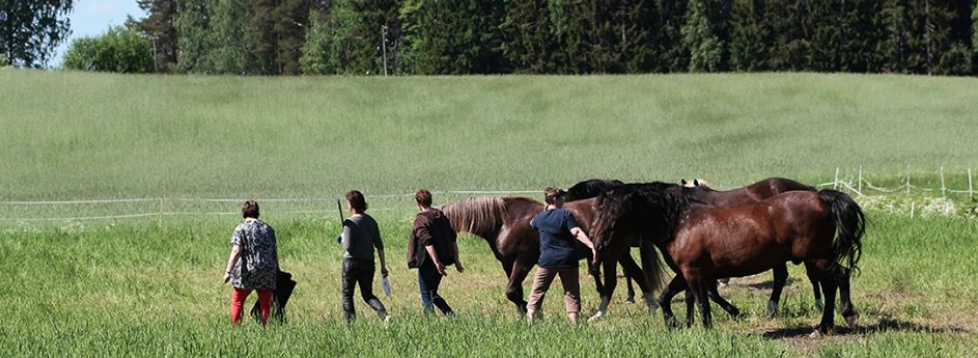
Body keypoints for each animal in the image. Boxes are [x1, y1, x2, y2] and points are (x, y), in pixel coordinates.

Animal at [588, 183, 860, 334]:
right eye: (598, 211)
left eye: (614, 214)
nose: (596, 242)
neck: (680, 222)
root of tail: (820, 197)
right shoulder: (686, 273)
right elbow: (666, 297)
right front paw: (675, 324)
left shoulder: (693, 273)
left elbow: (702, 303)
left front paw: (706, 330)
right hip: (816, 259)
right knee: (830, 284)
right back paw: (824, 327)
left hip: (816, 257)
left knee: (840, 276)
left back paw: (846, 315)